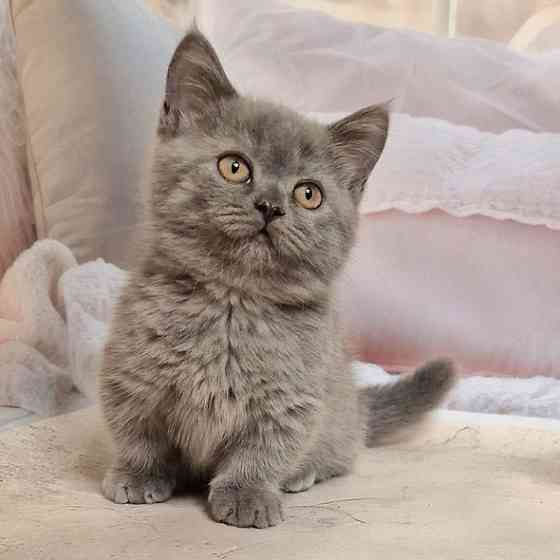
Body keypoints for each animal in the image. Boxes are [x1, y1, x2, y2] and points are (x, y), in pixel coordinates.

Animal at [98, 29, 456, 528]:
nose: (270, 206)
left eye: (308, 194)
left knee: (338, 455)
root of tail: (360, 405)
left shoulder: (290, 401)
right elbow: (137, 431)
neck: (231, 304)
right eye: (234, 167)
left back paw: (301, 475)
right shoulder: (132, 376)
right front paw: (137, 475)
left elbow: (263, 451)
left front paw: (247, 495)